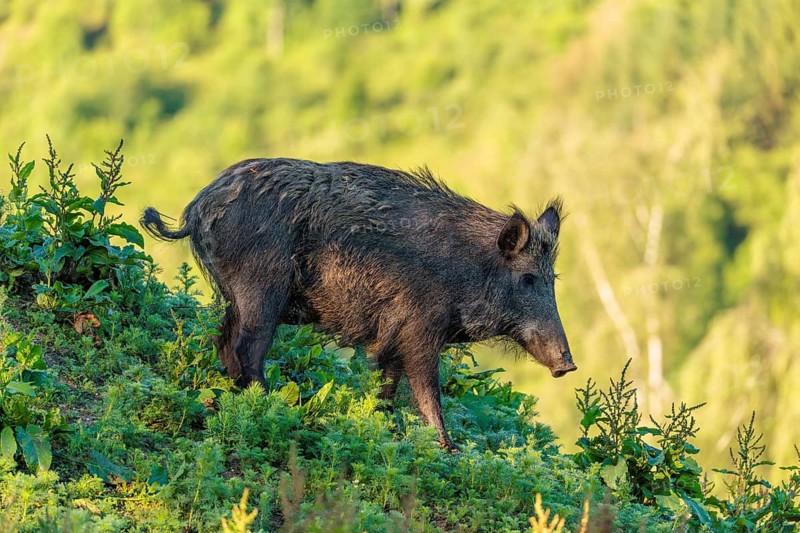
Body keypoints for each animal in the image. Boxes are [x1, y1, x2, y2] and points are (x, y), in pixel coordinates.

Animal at [141, 158, 575, 450]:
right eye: (528, 278)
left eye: (553, 279)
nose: (567, 365)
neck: (467, 267)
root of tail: (197, 208)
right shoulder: (419, 328)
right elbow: (426, 390)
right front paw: (448, 448)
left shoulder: (392, 336)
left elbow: (387, 384)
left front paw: (383, 424)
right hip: (261, 288)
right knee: (246, 347)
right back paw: (277, 404)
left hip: (236, 294)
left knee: (223, 342)